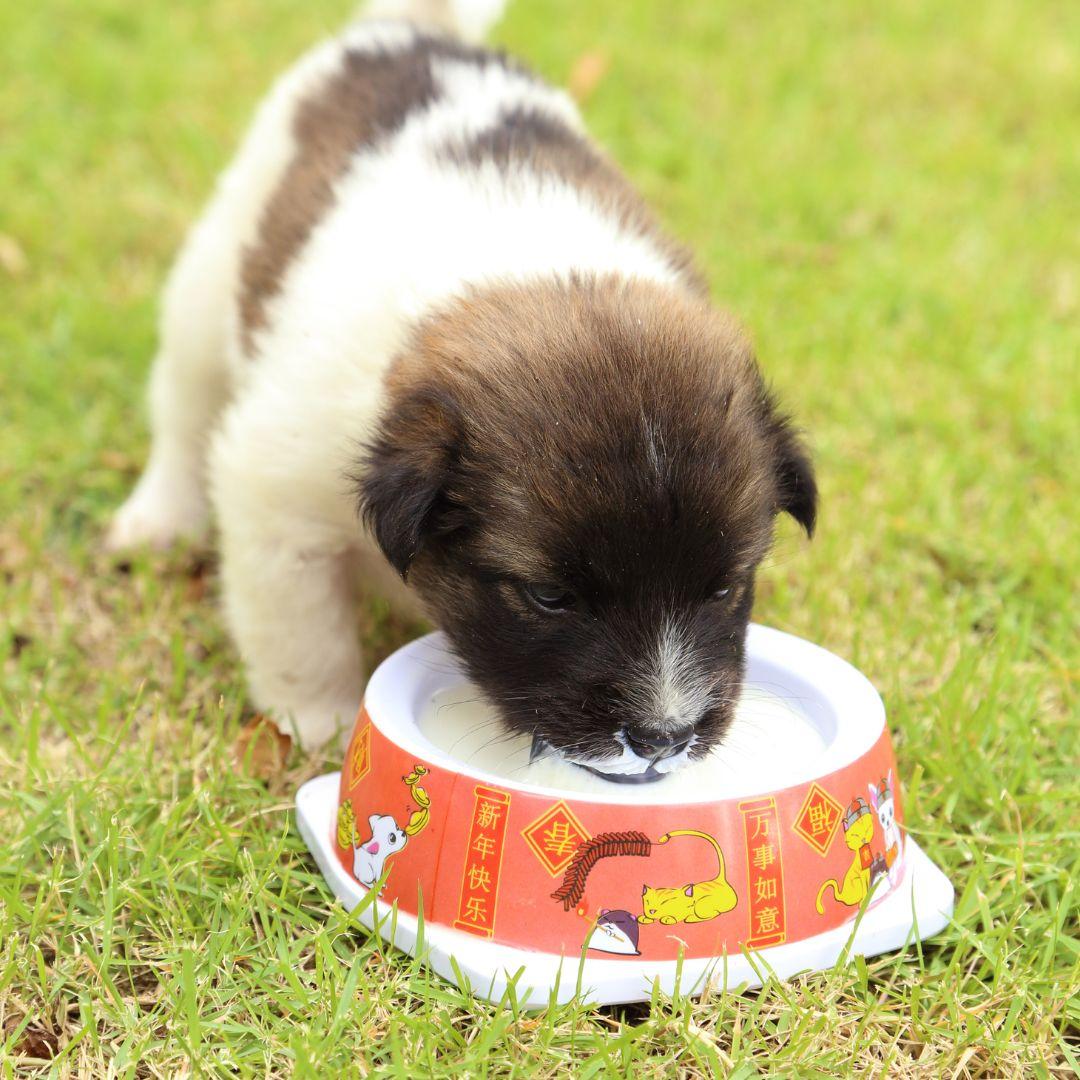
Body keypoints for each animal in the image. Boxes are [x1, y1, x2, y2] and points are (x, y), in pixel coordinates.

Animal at [111, 0, 816, 777]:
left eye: (725, 587)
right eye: (548, 597)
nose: (664, 740)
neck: (533, 274)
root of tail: (413, 30)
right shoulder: (276, 496)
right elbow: (302, 631)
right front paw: (321, 724)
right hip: (208, 289)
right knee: (184, 415)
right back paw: (158, 519)